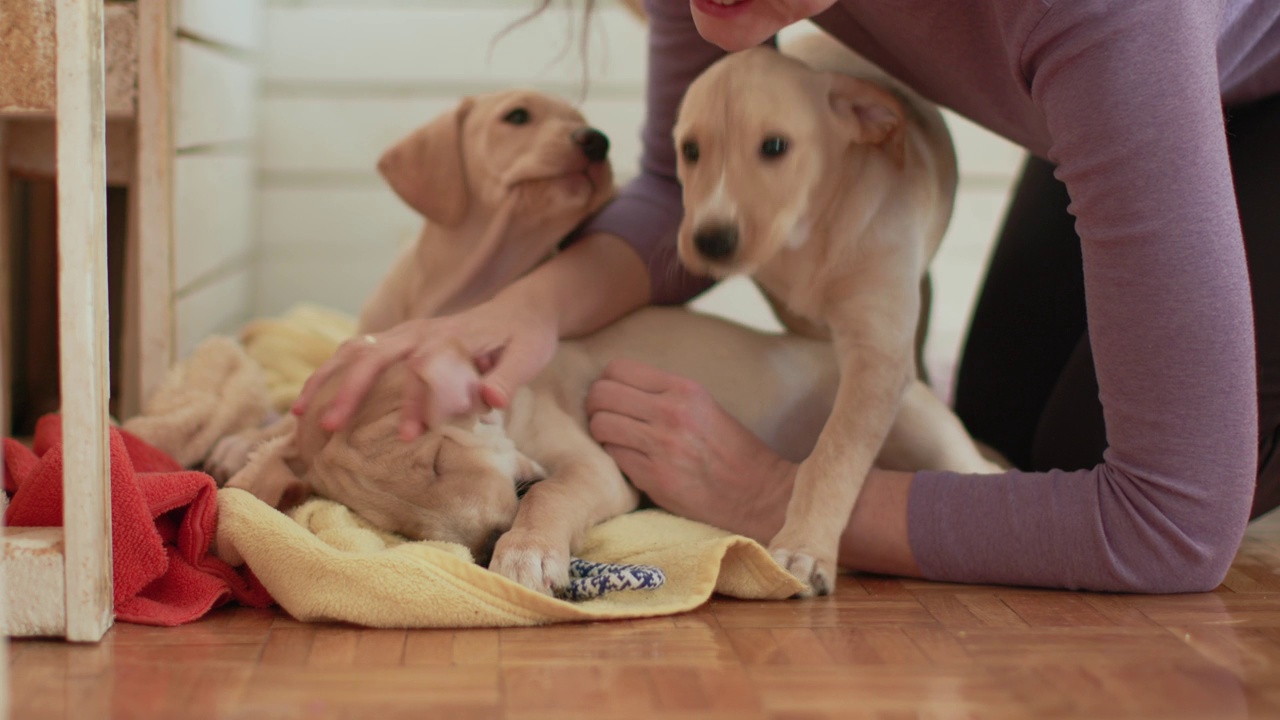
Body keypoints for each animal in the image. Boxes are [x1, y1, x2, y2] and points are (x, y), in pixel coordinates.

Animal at [675, 32, 962, 594]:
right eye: (690, 150)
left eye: (775, 147)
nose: (711, 241)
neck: (811, 234)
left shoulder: (877, 352)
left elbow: (834, 453)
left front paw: (805, 547)